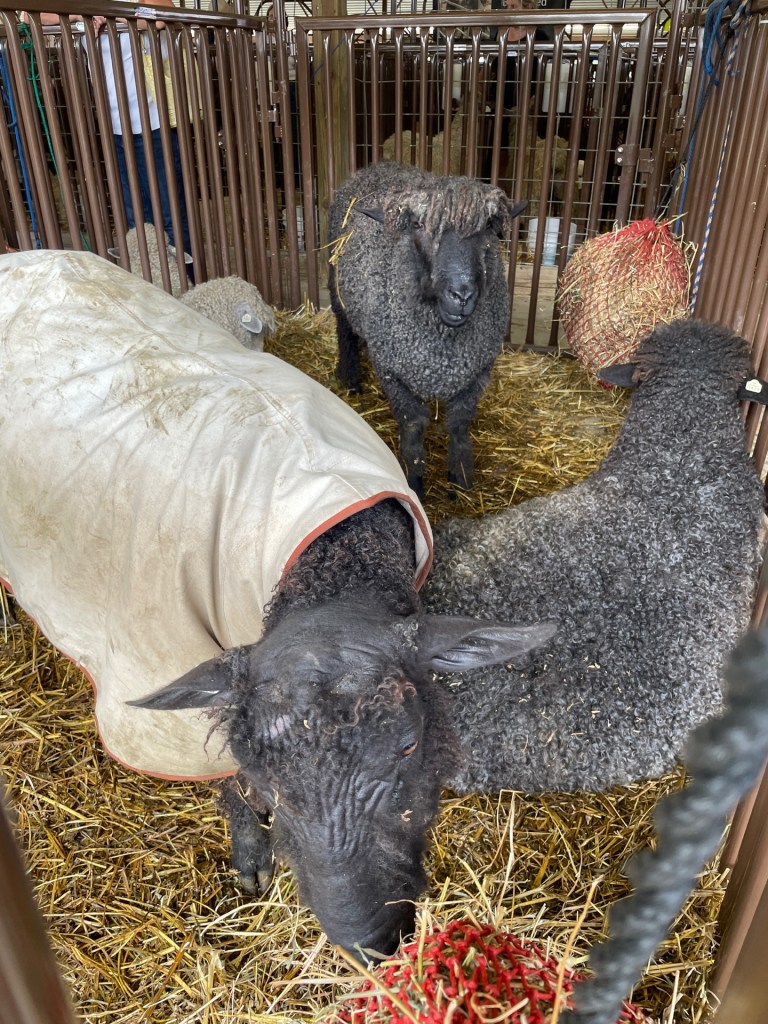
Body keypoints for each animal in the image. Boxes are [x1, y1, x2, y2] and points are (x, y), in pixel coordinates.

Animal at [0, 248, 555, 962]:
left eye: (409, 746)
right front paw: (250, 854)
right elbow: (216, 771)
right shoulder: (174, 646)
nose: (368, 942)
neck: (333, 565)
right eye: (267, 779)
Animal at [328, 160, 527, 497]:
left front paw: (461, 477)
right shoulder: (393, 372)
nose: (461, 294)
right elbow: (413, 425)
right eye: (418, 226)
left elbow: (459, 423)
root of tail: (378, 165)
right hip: (336, 290)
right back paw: (351, 379)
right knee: (346, 333)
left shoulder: (478, 371)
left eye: (488, 228)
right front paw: (413, 480)